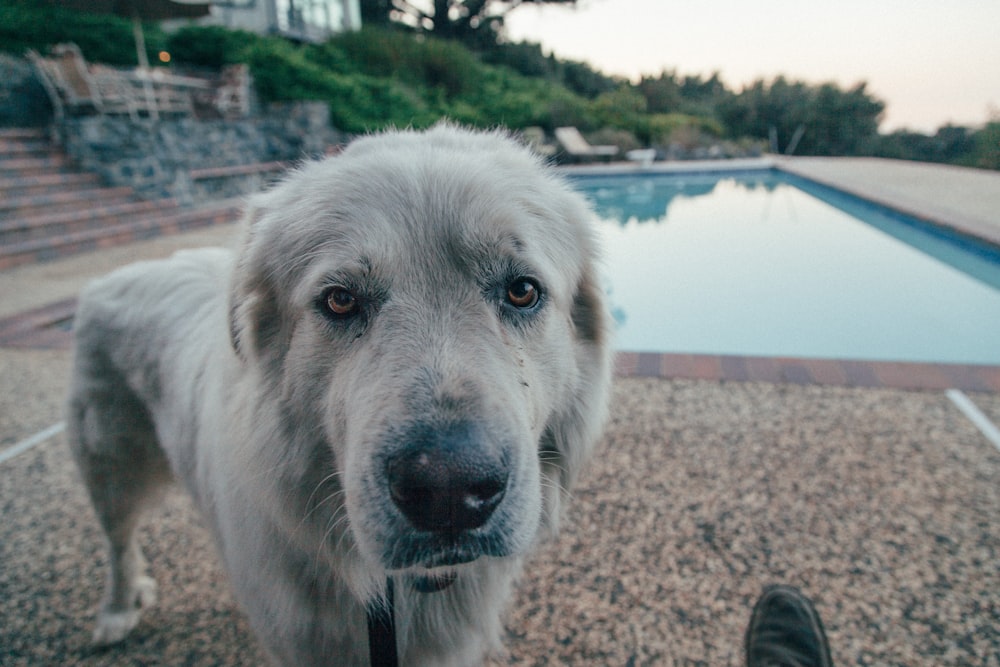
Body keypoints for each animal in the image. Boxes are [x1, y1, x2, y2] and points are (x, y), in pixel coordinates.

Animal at [66, 124, 612, 664]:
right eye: (340, 300)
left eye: (522, 291)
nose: (448, 491)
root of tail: (113, 276)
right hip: (110, 472)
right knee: (117, 542)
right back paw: (117, 610)